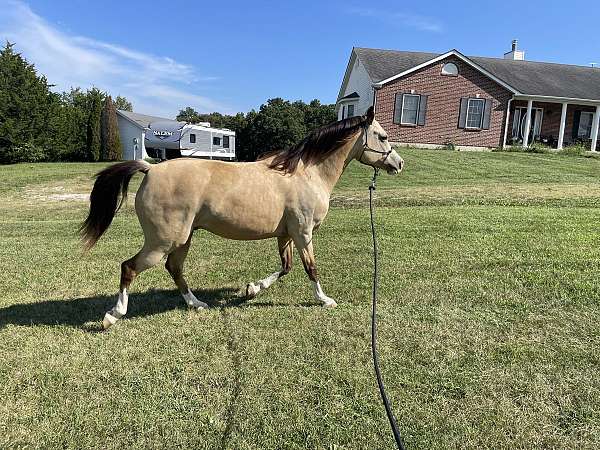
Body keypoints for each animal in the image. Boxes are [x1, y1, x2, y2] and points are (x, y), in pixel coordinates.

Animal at [79, 107, 404, 328]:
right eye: (383, 136)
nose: (399, 163)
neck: (305, 173)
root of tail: (151, 168)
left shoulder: (286, 235)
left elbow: (285, 268)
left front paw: (251, 289)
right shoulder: (303, 233)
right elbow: (310, 268)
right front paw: (324, 300)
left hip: (183, 239)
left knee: (174, 268)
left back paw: (197, 304)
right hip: (163, 241)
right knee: (130, 267)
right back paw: (113, 316)